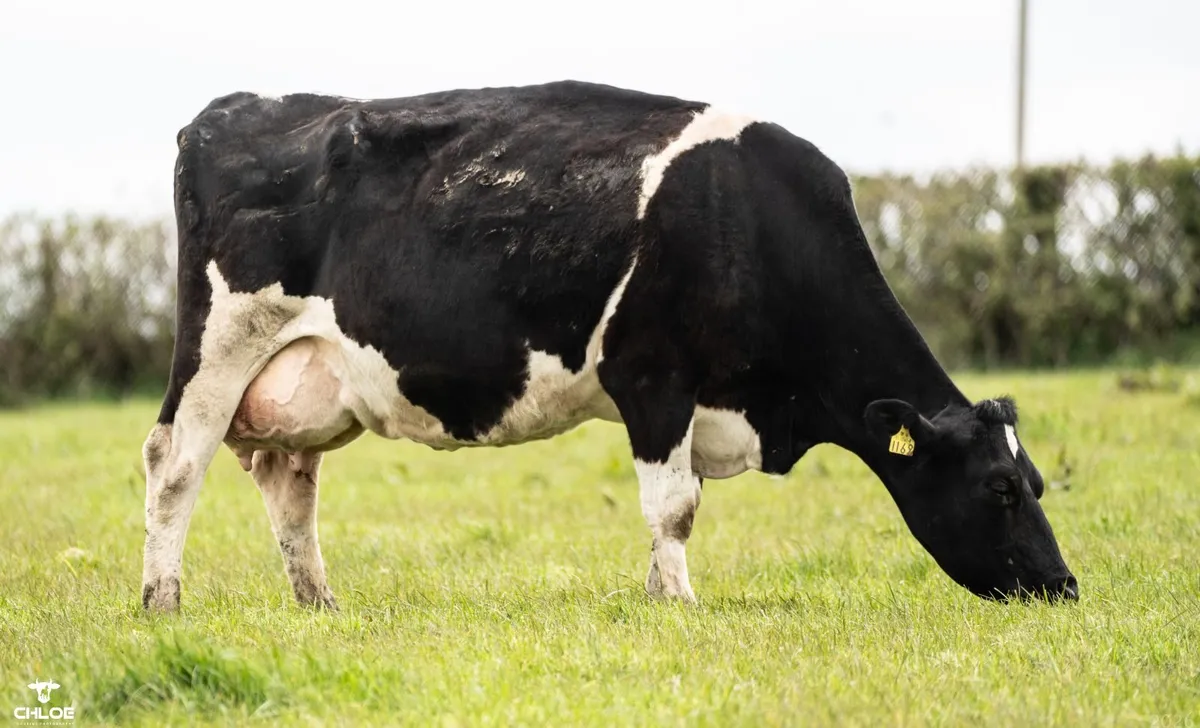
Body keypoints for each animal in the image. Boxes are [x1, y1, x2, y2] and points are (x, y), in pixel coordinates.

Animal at [140, 80, 1078, 613]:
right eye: (998, 489)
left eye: (1035, 482)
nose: (1063, 586)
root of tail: (229, 111)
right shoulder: (652, 376)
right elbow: (675, 507)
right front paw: (677, 603)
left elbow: (678, 506)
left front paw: (664, 594)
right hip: (220, 346)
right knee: (174, 462)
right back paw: (162, 600)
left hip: (306, 383)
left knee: (289, 486)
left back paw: (319, 603)